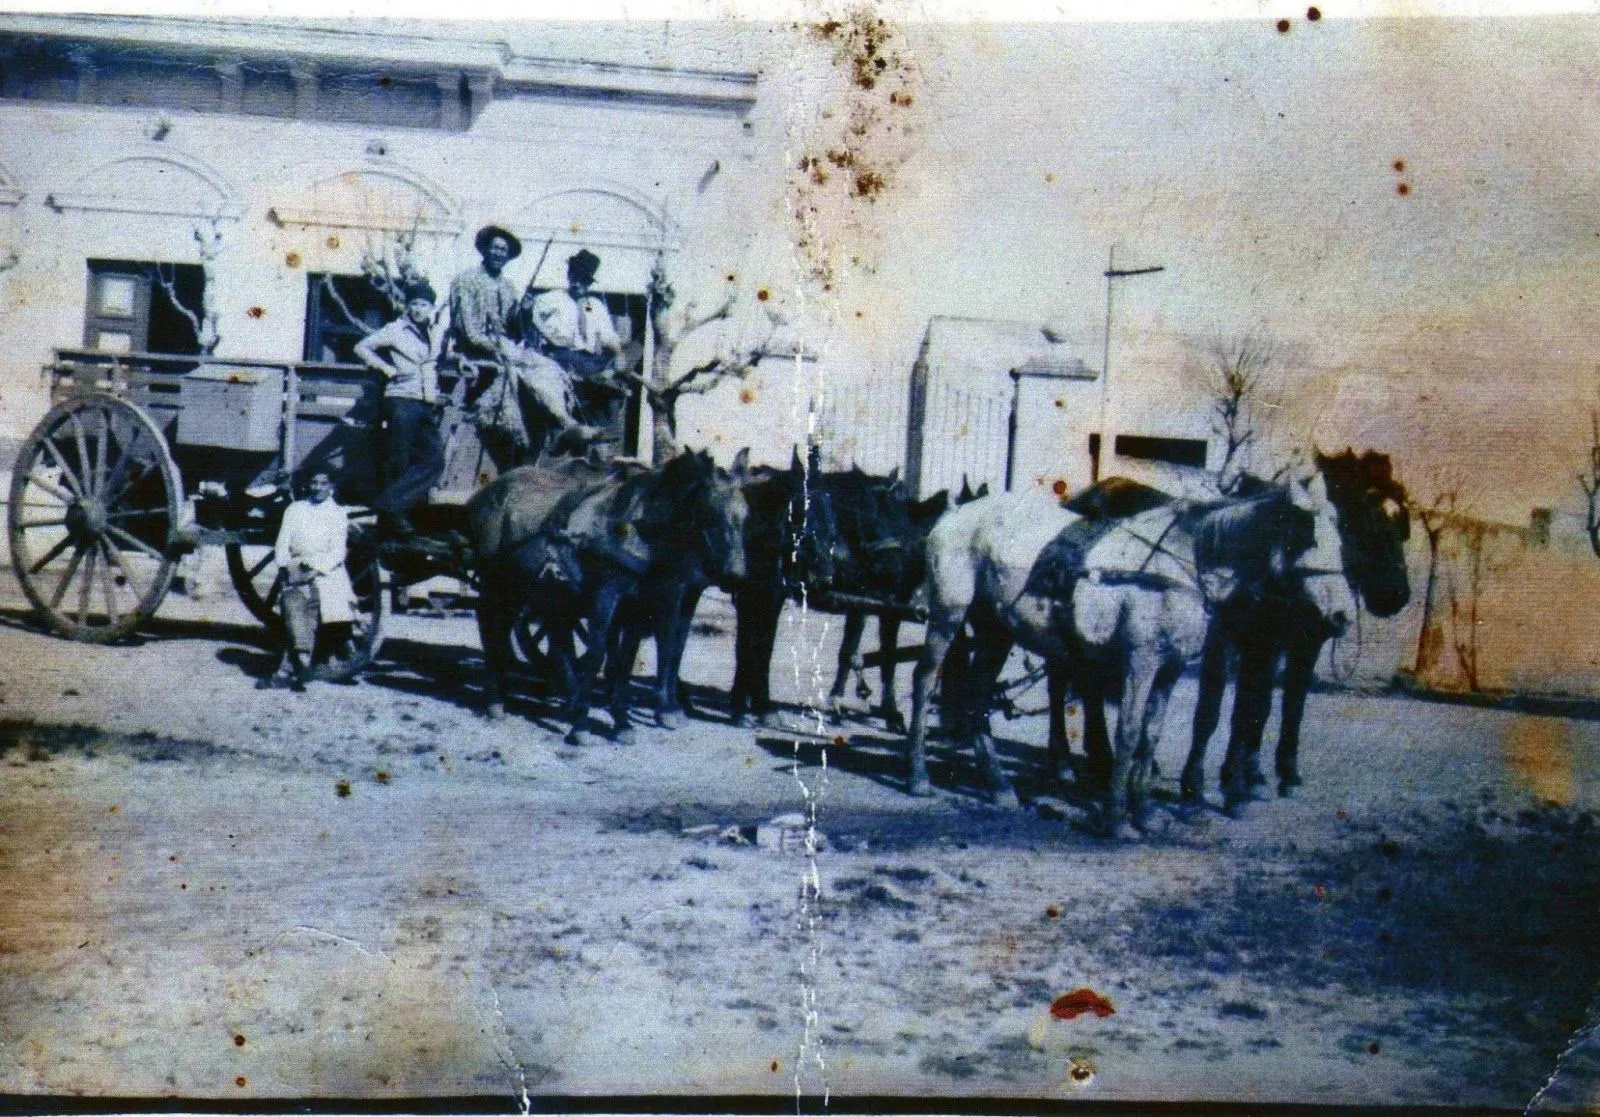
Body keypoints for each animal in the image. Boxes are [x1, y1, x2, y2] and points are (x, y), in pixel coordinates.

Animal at [467, 444, 748, 739]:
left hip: (526, 586)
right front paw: (581, 726)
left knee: (521, 630)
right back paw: (496, 699)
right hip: (498, 581)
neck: (634, 530)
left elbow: (626, 660)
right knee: (491, 624)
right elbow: (600, 654)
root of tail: (485, 493)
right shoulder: (609, 598)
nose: (736, 575)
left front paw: (622, 721)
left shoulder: (640, 605)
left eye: (745, 516)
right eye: (711, 513)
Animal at [902, 470, 1350, 832]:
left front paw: (1145, 812)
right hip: (949, 615)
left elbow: (1151, 735)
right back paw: (918, 775)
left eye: (1341, 536)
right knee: (924, 680)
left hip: (997, 629)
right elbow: (1130, 731)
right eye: (1308, 535)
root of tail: (955, 514)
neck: (1186, 563)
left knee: (978, 693)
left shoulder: (1170, 668)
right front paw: (1117, 817)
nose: (1342, 615)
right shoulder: (1141, 661)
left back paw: (997, 785)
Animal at [1177, 444, 1414, 809]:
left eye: (1402, 522)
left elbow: (1287, 705)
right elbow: (1229, 707)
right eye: (1367, 518)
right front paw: (1219, 780)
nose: (1396, 595)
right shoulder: (1244, 640)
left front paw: (1280, 773)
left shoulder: (1303, 644)